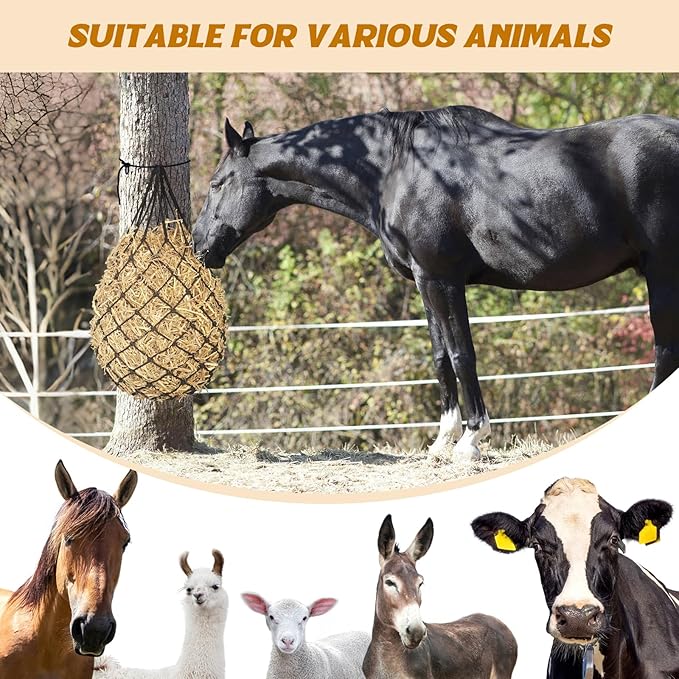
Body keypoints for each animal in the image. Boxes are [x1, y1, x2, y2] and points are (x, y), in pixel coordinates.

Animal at [193, 106, 679, 459]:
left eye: (217, 183)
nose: (199, 244)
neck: (397, 171)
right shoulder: (423, 280)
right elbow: (441, 357)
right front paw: (442, 439)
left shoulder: (442, 279)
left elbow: (463, 355)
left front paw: (471, 440)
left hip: (663, 273)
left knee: (664, 351)